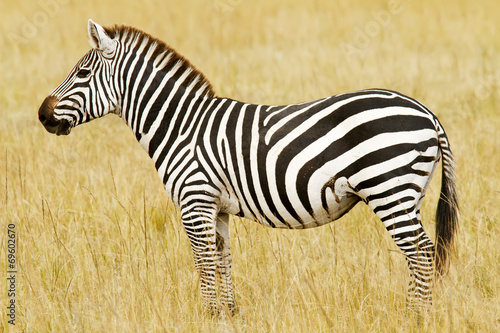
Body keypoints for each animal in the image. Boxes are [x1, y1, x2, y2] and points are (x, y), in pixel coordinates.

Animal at [40, 20, 458, 314]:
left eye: (82, 74)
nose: (42, 115)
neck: (181, 126)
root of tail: (426, 112)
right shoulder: (218, 208)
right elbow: (223, 260)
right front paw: (228, 313)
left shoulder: (194, 202)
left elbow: (204, 262)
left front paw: (208, 315)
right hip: (410, 193)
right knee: (421, 254)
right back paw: (416, 312)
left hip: (389, 189)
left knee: (421, 252)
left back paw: (415, 316)